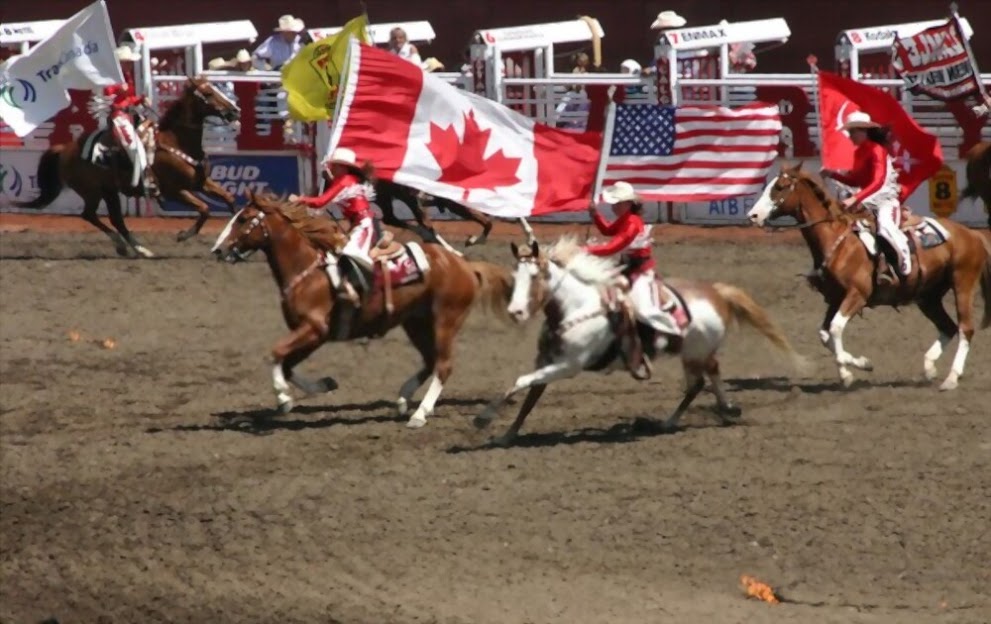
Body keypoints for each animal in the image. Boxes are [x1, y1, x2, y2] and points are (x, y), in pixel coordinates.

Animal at [15, 77, 242, 256]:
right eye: (208, 93)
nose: (234, 111)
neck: (176, 141)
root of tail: (65, 149)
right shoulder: (175, 190)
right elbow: (204, 209)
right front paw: (183, 235)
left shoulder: (201, 183)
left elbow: (229, 200)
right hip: (92, 191)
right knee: (91, 215)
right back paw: (132, 247)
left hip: (108, 191)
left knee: (114, 219)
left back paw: (136, 248)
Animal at [212, 190, 516, 428]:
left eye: (242, 219)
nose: (218, 250)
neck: (307, 272)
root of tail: (464, 265)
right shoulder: (312, 334)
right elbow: (285, 365)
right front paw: (324, 384)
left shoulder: (314, 328)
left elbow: (275, 354)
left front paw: (284, 398)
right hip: (416, 323)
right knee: (430, 361)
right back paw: (403, 399)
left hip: (445, 320)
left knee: (443, 365)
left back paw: (419, 414)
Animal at [468, 236, 804, 446]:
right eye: (515, 277)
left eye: (536, 277)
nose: (516, 312)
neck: (576, 308)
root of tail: (716, 293)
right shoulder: (547, 361)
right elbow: (529, 395)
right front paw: (505, 435)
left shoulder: (568, 366)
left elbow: (521, 381)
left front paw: (483, 420)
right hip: (689, 354)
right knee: (698, 382)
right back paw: (684, 418)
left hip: (697, 351)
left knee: (709, 373)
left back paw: (716, 410)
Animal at [748, 163, 988, 392]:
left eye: (779, 187)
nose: (753, 215)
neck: (840, 241)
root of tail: (972, 234)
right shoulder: (835, 299)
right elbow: (825, 334)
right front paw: (862, 363)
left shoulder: (857, 295)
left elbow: (835, 329)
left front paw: (847, 373)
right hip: (928, 297)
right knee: (948, 327)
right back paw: (929, 367)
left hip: (962, 283)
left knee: (965, 328)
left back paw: (951, 378)